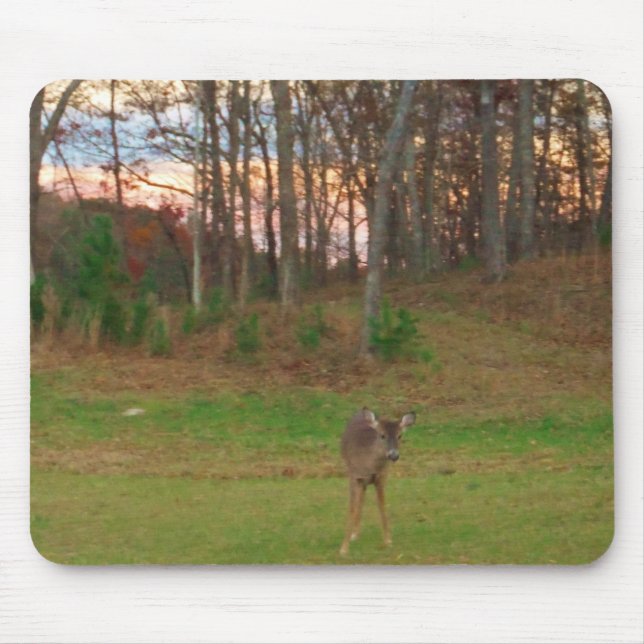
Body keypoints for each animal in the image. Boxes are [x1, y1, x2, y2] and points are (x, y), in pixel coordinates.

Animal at [339, 407, 416, 555]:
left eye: (400, 436)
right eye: (382, 435)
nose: (394, 455)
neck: (370, 465)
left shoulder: (381, 477)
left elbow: (382, 507)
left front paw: (388, 541)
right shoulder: (354, 476)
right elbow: (351, 508)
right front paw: (343, 549)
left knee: (363, 497)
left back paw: (356, 533)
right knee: (360, 499)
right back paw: (354, 534)